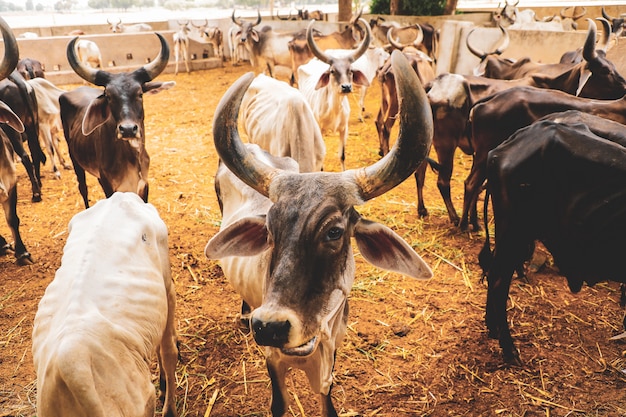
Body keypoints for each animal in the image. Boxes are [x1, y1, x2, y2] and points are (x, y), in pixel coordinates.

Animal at [59, 34, 174, 208]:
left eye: (140, 94)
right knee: (83, 188)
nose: (127, 129)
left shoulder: (143, 185)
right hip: (75, 160)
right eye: (108, 96)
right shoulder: (111, 188)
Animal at [205, 51, 434, 416]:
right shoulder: (272, 358)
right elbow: (279, 404)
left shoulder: (333, 351)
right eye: (270, 230)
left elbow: (327, 400)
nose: (269, 326)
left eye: (334, 232)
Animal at [298, 17, 370, 171]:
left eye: (350, 70)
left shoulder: (344, 129)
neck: (335, 110)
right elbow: (320, 159)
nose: (346, 87)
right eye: (332, 71)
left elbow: (342, 155)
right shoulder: (320, 130)